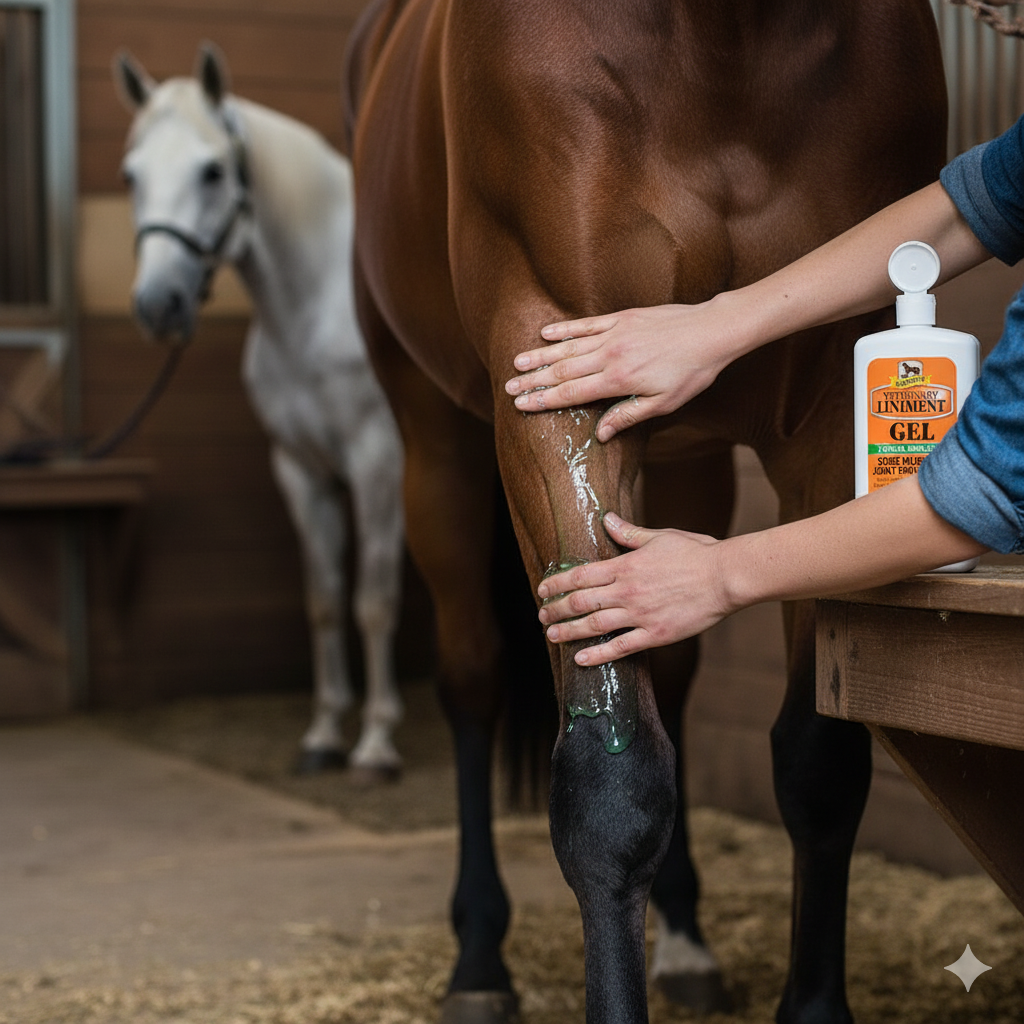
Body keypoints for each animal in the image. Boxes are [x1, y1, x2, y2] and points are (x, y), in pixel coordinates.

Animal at [115, 46, 406, 780]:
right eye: (130, 176)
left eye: (213, 170)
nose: (158, 305)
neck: (321, 305)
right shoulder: (300, 470)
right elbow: (325, 599)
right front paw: (325, 733)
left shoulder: (378, 466)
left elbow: (373, 601)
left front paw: (375, 743)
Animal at [345, 2, 948, 1023]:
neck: (723, 43)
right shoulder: (556, 358)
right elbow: (609, 779)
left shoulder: (833, 407)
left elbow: (820, 760)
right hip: (434, 442)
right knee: (471, 680)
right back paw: (479, 961)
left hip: (687, 462)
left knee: (671, 672)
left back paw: (685, 938)